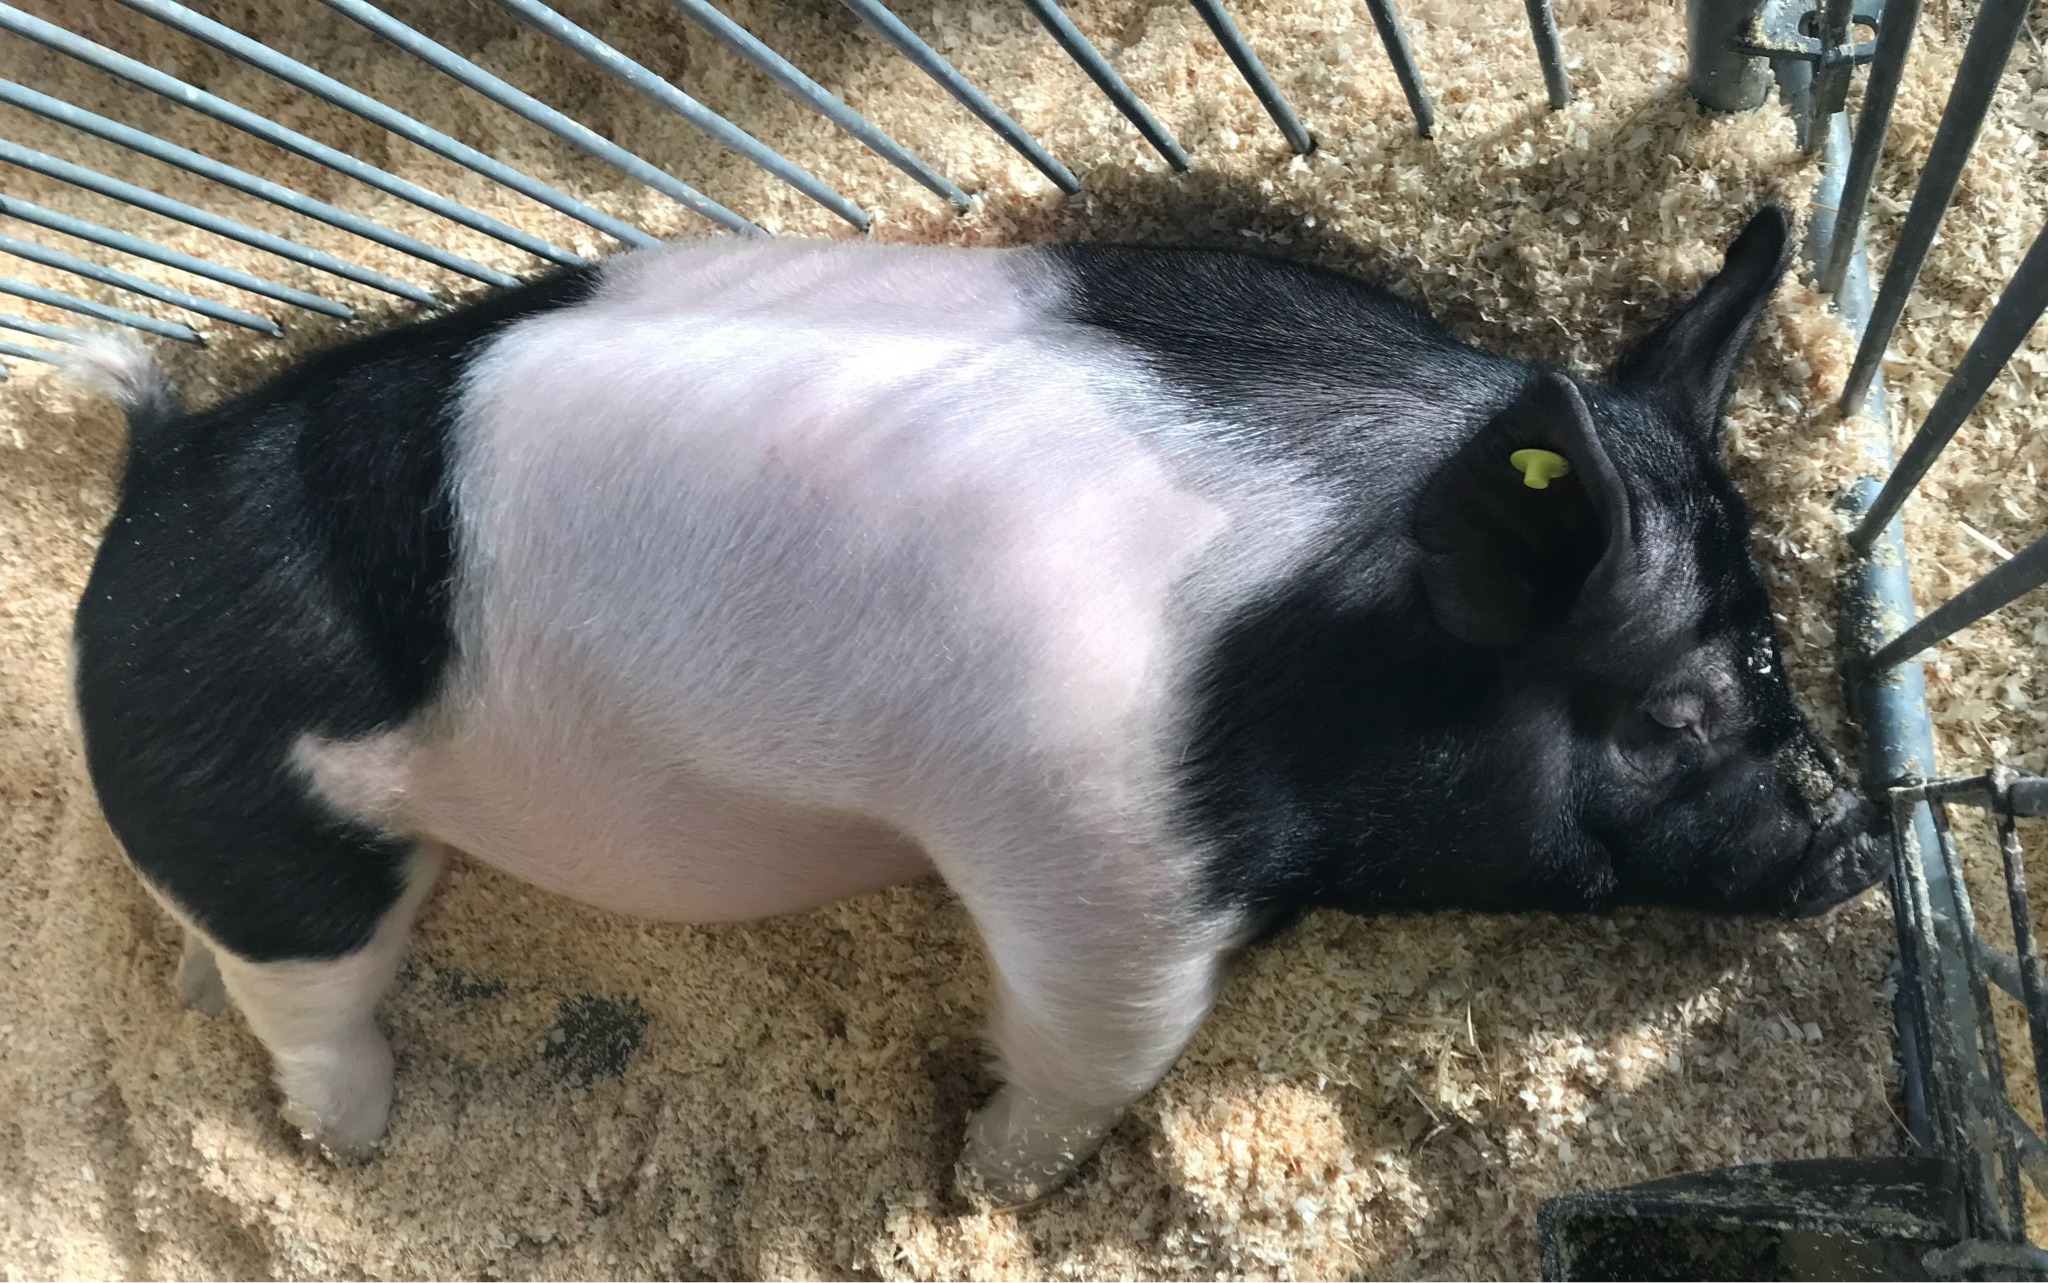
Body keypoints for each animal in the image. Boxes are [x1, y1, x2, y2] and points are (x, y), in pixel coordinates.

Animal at [70, 203, 1886, 1205]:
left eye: (1773, 648)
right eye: (1669, 710)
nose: (1857, 839)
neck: (1300, 632)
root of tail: (146, 481)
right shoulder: (1095, 850)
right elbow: (1103, 1043)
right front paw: (990, 1189)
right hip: (275, 828)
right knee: (311, 995)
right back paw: (355, 1148)